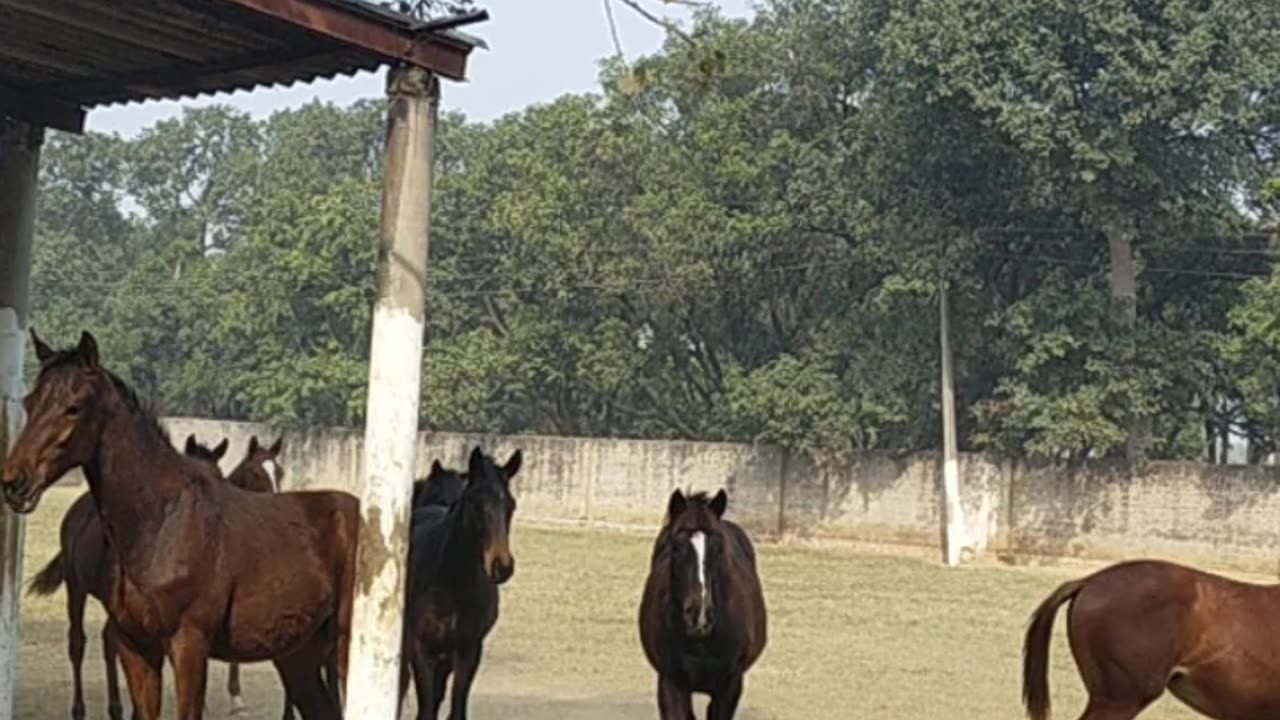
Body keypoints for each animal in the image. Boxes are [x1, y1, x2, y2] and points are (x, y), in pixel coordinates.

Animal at [26, 430, 227, 717]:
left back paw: (115, 707)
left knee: (107, 641)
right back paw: (80, 709)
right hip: (76, 587)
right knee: (77, 641)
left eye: (220, 476)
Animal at [399, 445, 519, 712]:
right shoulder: (421, 650)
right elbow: (426, 708)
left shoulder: (468, 651)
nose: (502, 566)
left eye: (511, 505)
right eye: (476, 503)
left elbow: (456, 708)